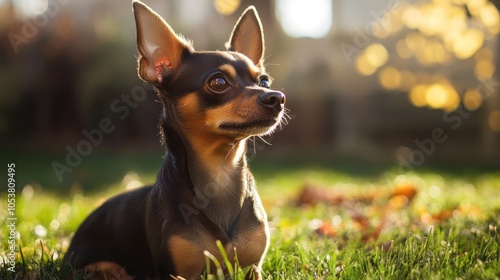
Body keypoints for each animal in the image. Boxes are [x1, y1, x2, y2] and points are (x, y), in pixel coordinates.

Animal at [63, 1, 286, 278]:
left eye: (264, 81)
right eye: (218, 82)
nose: (276, 97)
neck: (221, 172)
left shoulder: (252, 269)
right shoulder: (177, 272)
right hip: (104, 267)